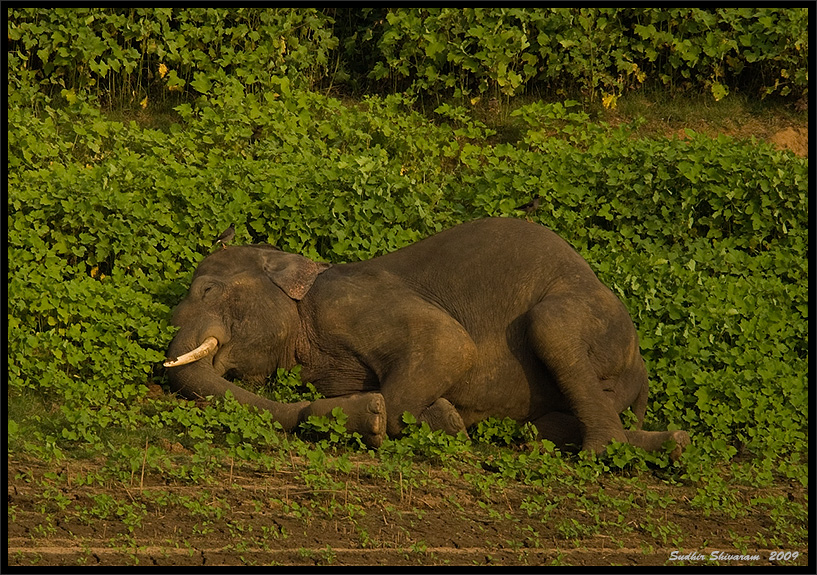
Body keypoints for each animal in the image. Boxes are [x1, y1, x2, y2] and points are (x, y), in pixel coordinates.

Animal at [166, 218, 688, 456]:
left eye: (208, 290)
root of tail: (642, 370)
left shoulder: (348, 302)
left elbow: (448, 343)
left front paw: (432, 420)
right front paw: (445, 418)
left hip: (591, 323)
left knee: (553, 328)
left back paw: (609, 449)